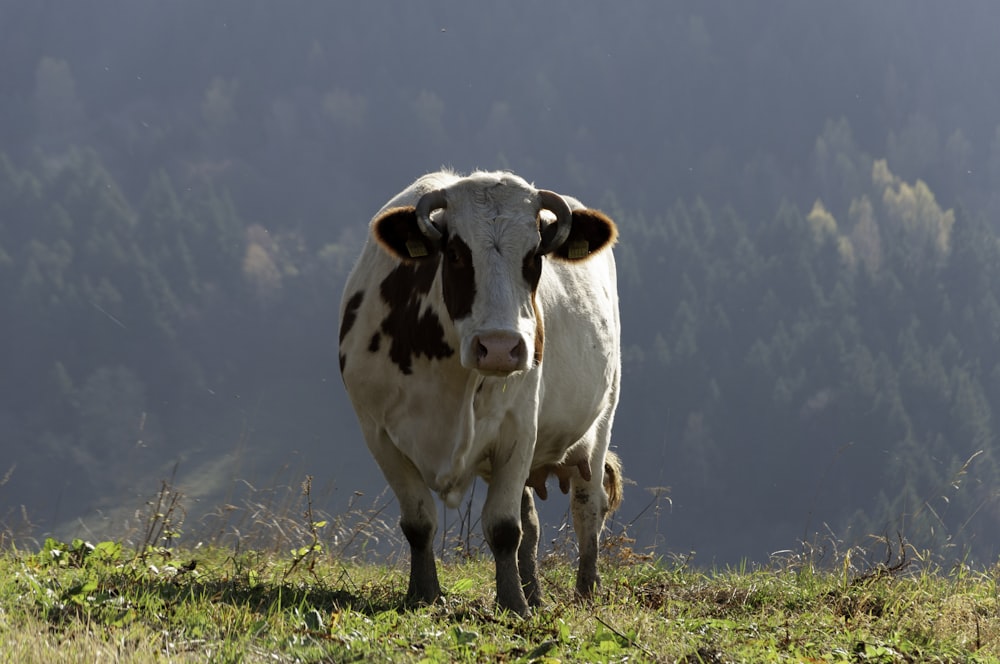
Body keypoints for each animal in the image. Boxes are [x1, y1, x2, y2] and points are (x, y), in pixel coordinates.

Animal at [340, 171, 620, 616]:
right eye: (455, 253)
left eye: (534, 256)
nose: (501, 347)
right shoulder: (377, 433)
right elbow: (419, 522)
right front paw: (423, 593)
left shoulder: (519, 429)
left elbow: (504, 527)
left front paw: (512, 604)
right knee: (533, 523)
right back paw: (535, 591)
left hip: (601, 420)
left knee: (587, 509)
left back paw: (585, 592)